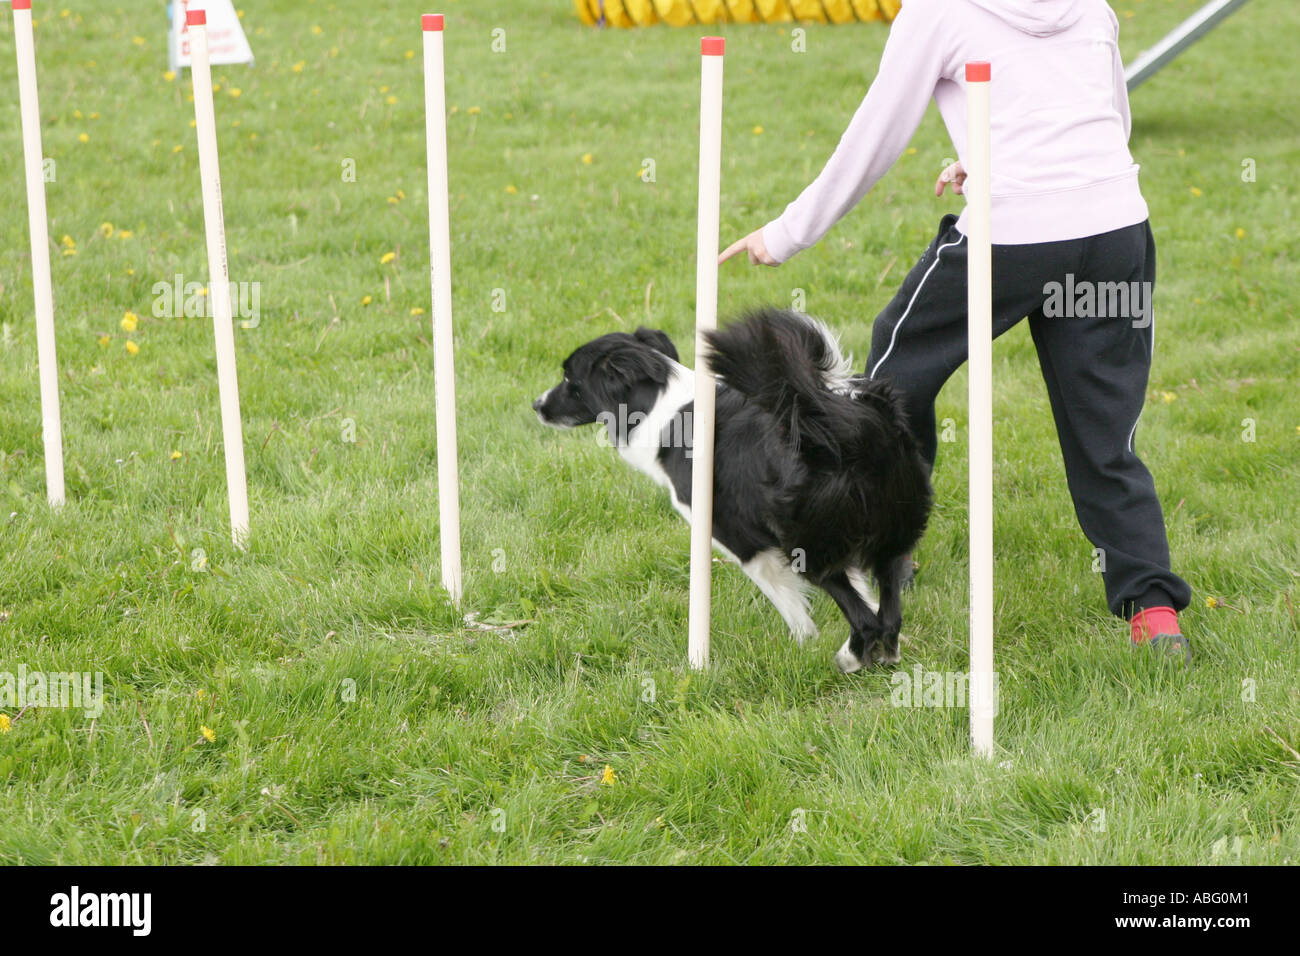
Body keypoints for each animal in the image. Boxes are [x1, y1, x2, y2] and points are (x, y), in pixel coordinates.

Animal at [533, 306, 930, 671]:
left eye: (569, 379)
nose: (536, 405)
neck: (661, 409)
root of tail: (841, 425)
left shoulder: (743, 541)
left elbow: (789, 602)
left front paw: (802, 643)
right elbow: (864, 594)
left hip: (810, 544)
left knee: (864, 619)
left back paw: (849, 658)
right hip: (892, 530)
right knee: (889, 611)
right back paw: (887, 654)